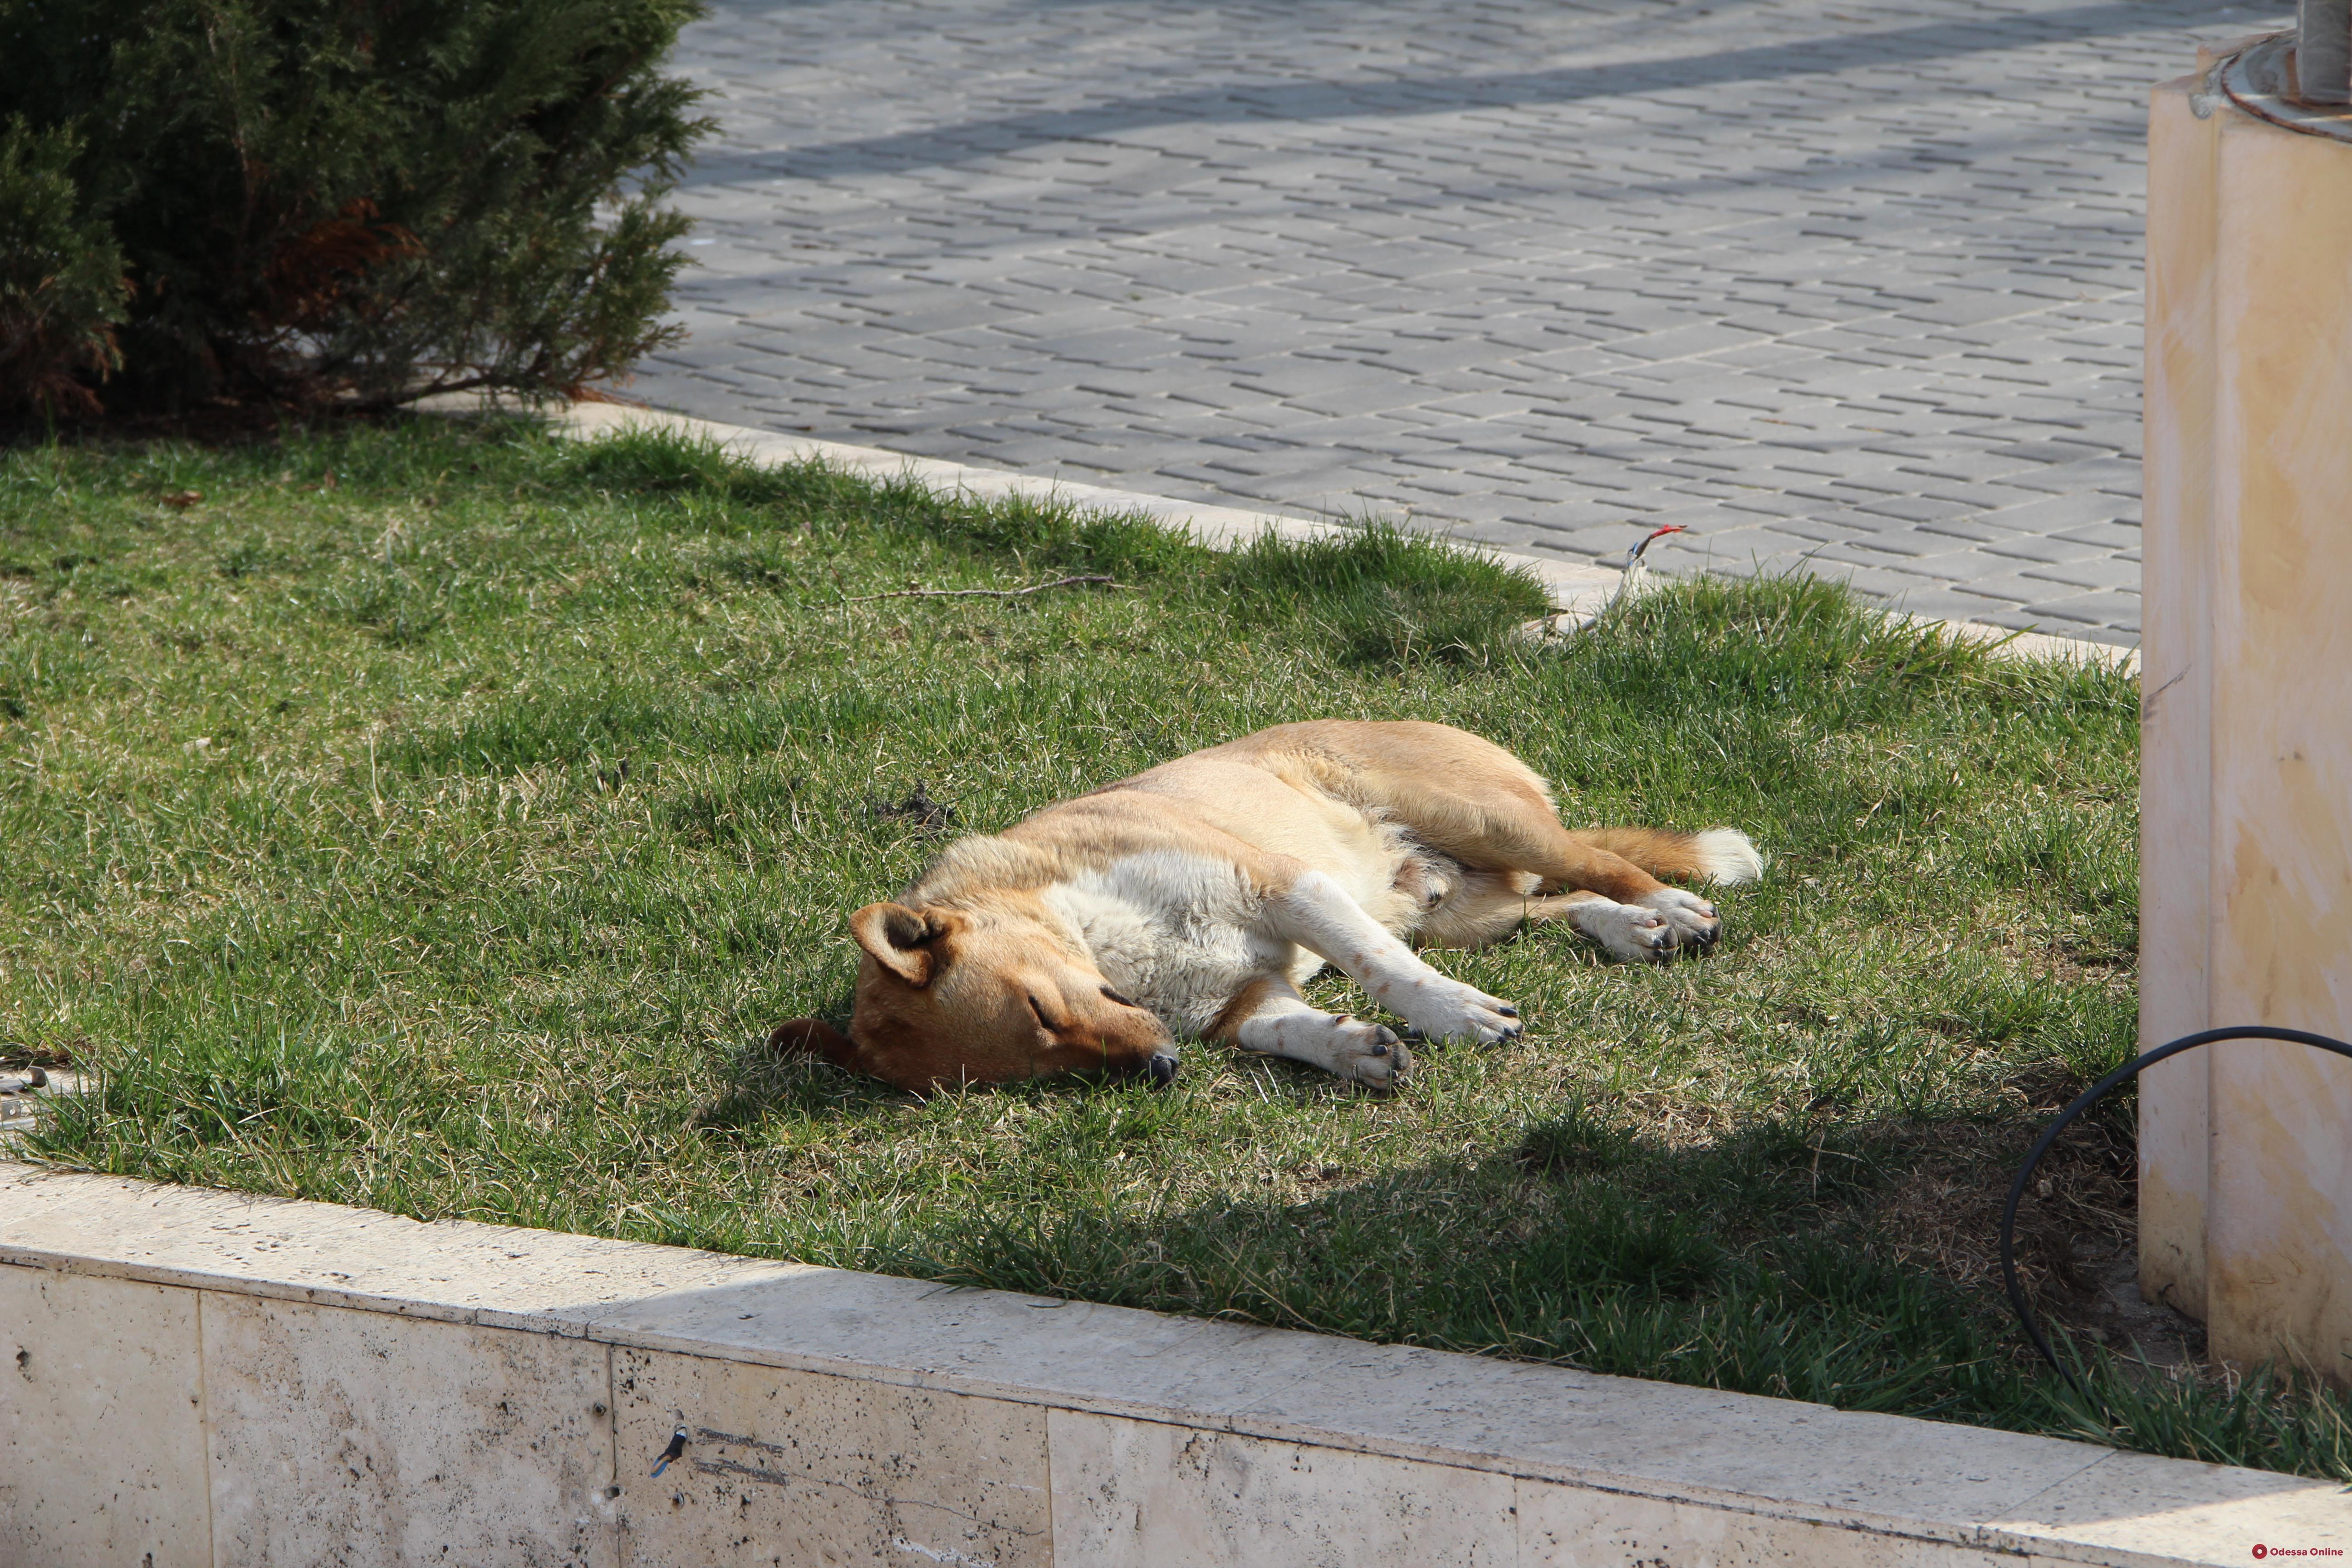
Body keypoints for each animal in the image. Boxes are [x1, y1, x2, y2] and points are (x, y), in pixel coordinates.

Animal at [776, 719, 1769, 1091]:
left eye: (1040, 1008)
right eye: (1033, 1073)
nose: (1160, 1070)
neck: (1096, 935)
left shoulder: (1289, 887)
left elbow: (1387, 972)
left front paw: (1457, 1018)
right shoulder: (1239, 1003)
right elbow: (1291, 1029)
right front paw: (1358, 1049)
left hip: (1493, 825)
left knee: (1600, 862)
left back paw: (1671, 906)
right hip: (1462, 912)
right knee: (1554, 907)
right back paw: (1634, 930)